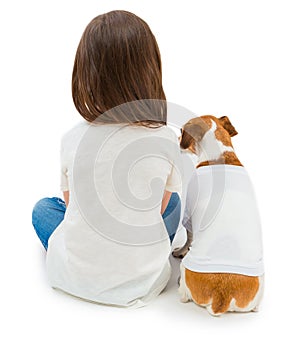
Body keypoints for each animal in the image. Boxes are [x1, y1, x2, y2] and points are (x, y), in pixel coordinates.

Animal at [172, 116, 264, 318]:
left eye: (182, 131)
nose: (177, 138)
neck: (221, 157)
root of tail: (223, 296)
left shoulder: (189, 214)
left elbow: (188, 237)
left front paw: (180, 250)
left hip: (185, 269)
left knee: (183, 294)